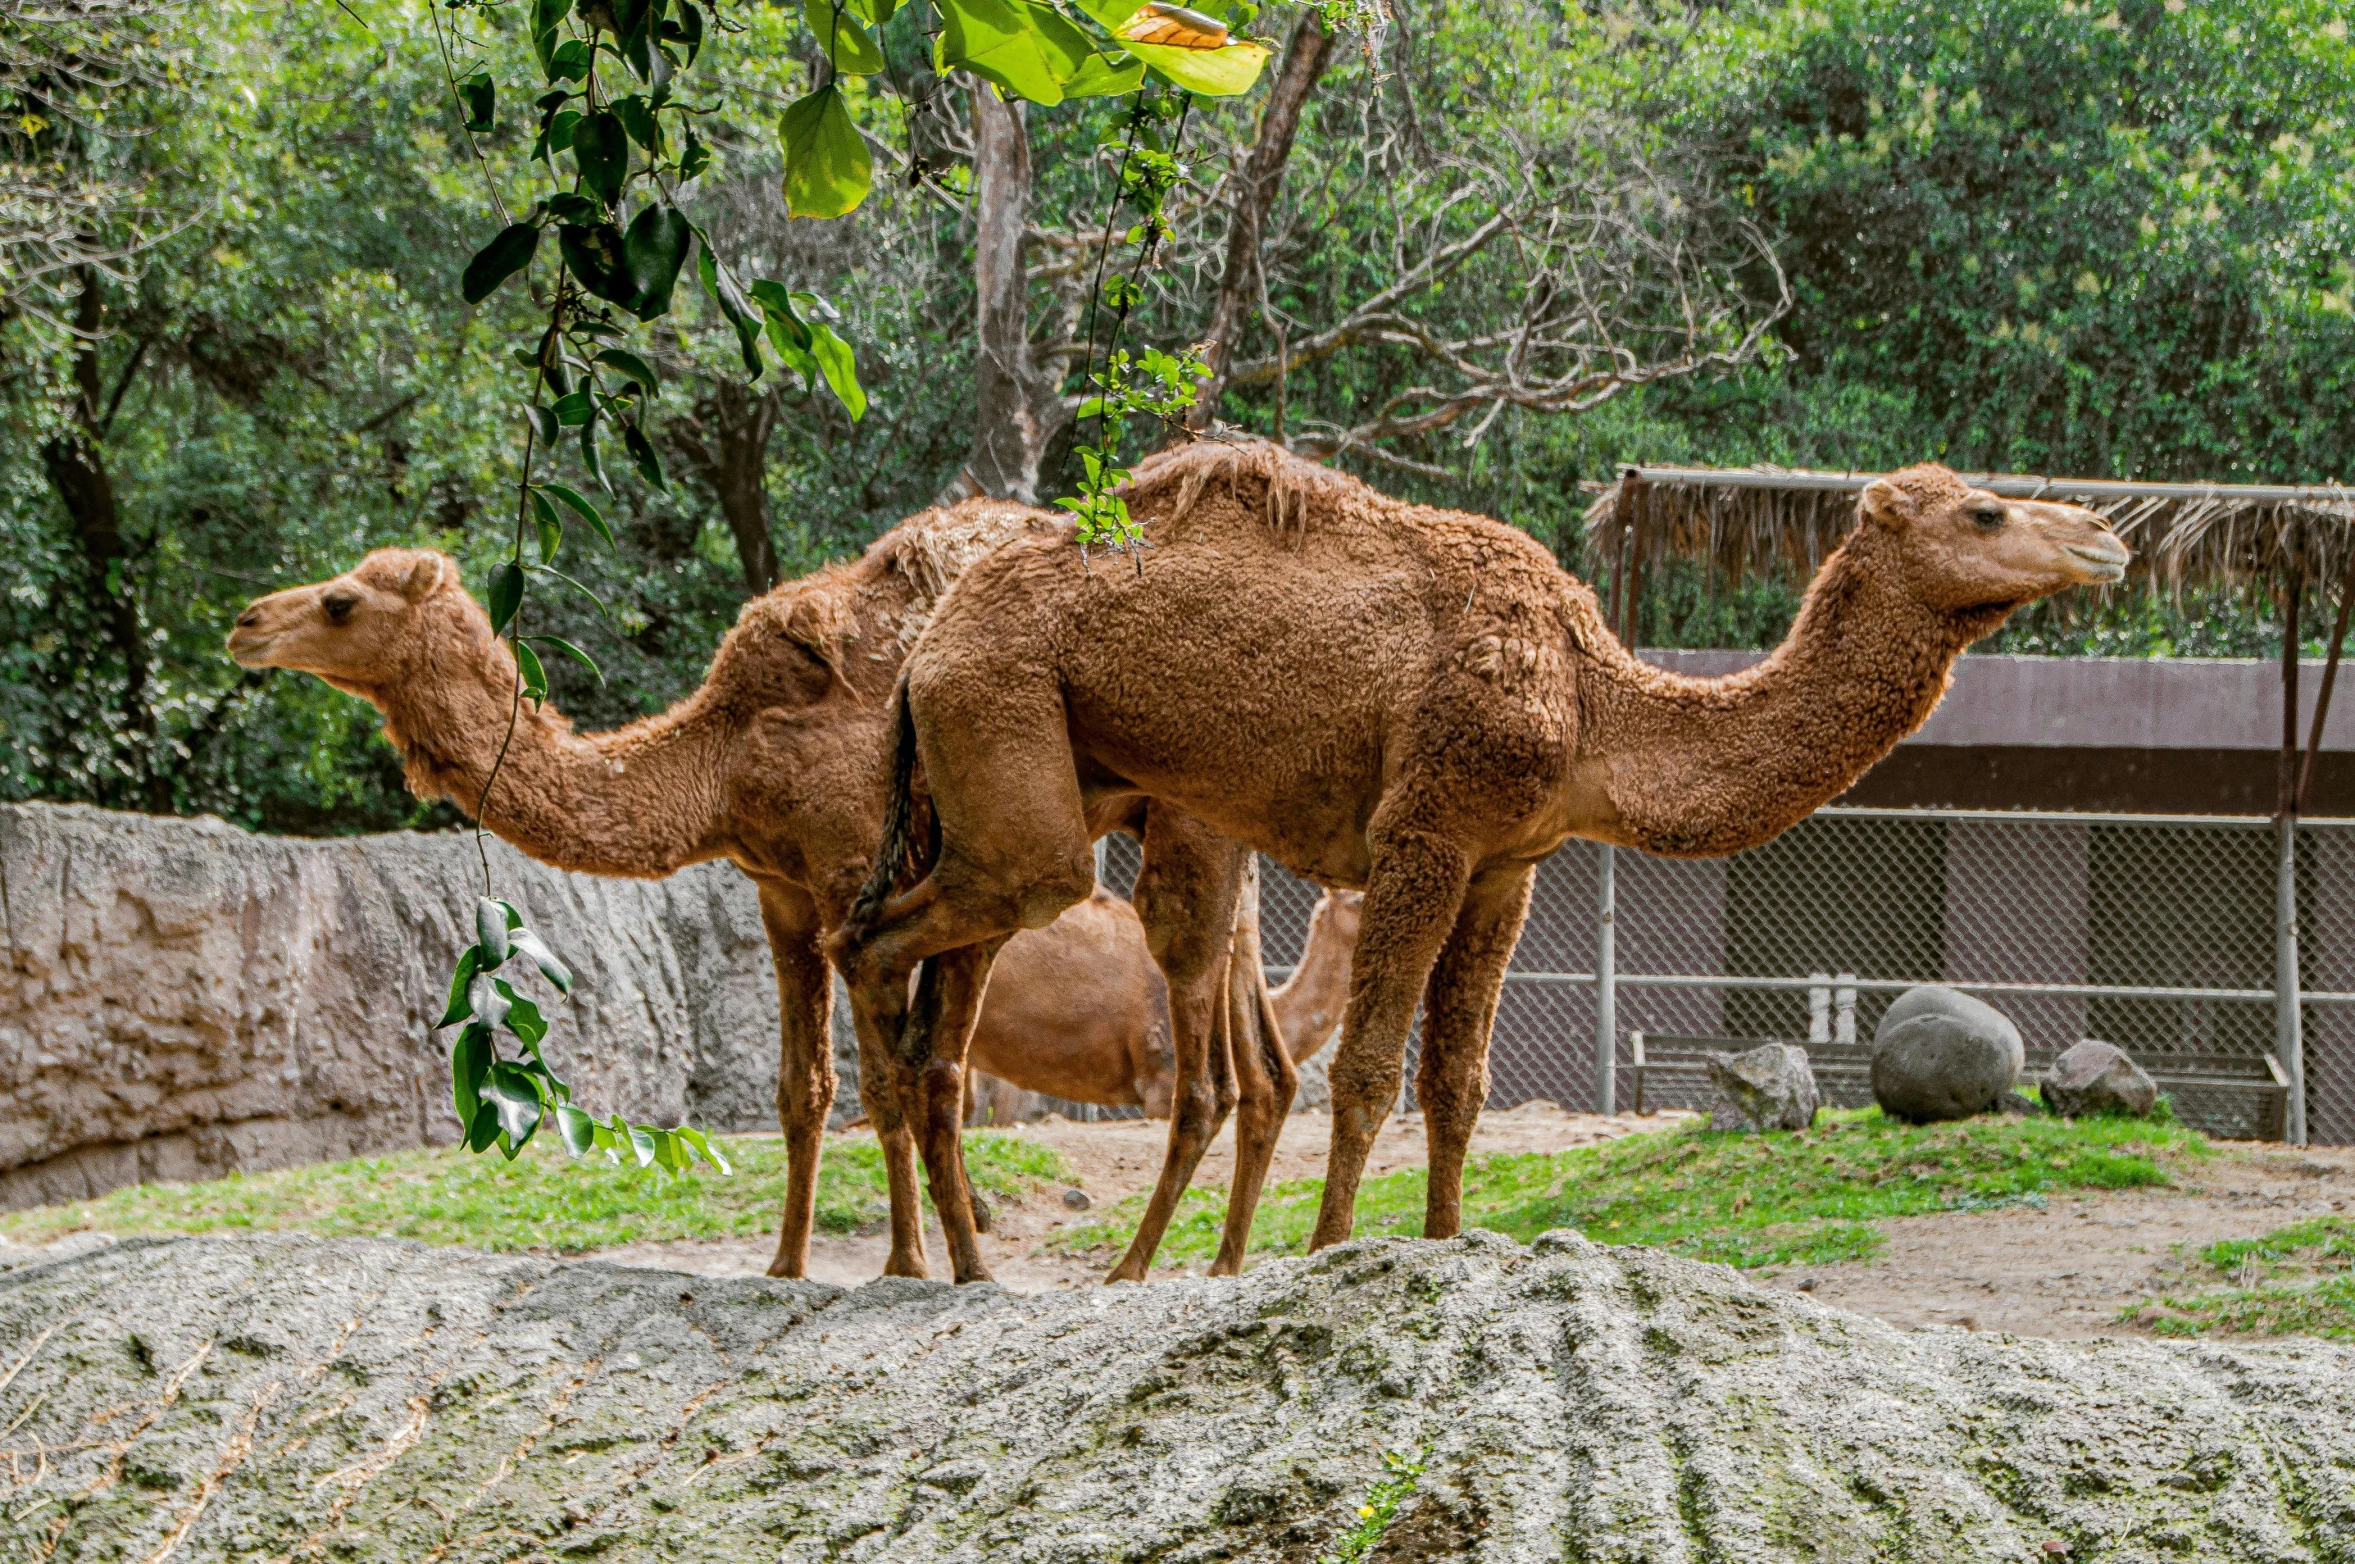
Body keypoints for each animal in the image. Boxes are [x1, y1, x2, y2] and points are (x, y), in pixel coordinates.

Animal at [224, 513, 1309, 1281]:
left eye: (339, 602)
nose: (244, 622)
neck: (725, 759)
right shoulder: (779, 892)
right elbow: (803, 1091)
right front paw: (787, 1264)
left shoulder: (850, 870)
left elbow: (888, 1088)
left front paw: (910, 1263)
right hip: (1192, 821)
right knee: (1262, 1054)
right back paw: (1235, 1257)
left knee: (1192, 1053)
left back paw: (1136, 1265)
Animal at [833, 442, 2138, 1281]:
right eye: (1983, 514)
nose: (2105, 537)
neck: (1591, 702)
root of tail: (927, 645)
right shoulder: (1429, 831)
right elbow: (1371, 1070)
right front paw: (1330, 1257)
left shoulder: (1511, 863)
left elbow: (1460, 1082)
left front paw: (1447, 1246)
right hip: (1010, 746)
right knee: (883, 935)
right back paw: (921, 1255)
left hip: (1021, 788)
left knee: (932, 985)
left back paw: (957, 1262)